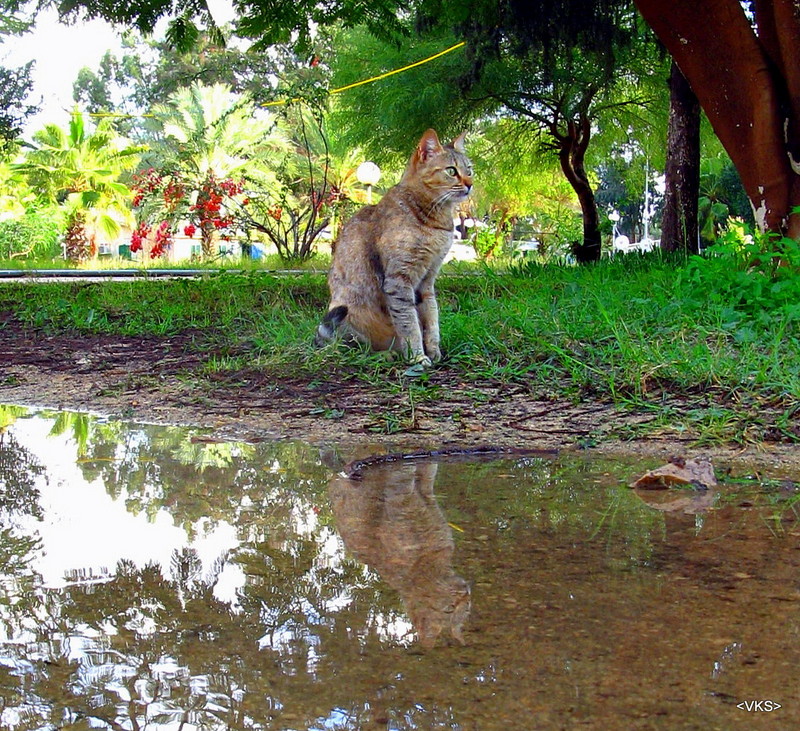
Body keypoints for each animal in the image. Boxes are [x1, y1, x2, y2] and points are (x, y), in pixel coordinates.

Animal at [314, 128, 476, 366]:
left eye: (469, 170)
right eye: (451, 171)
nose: (470, 184)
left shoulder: (427, 280)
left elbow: (431, 318)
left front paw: (434, 350)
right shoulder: (399, 279)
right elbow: (410, 324)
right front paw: (418, 356)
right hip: (348, 313)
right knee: (353, 350)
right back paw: (385, 354)